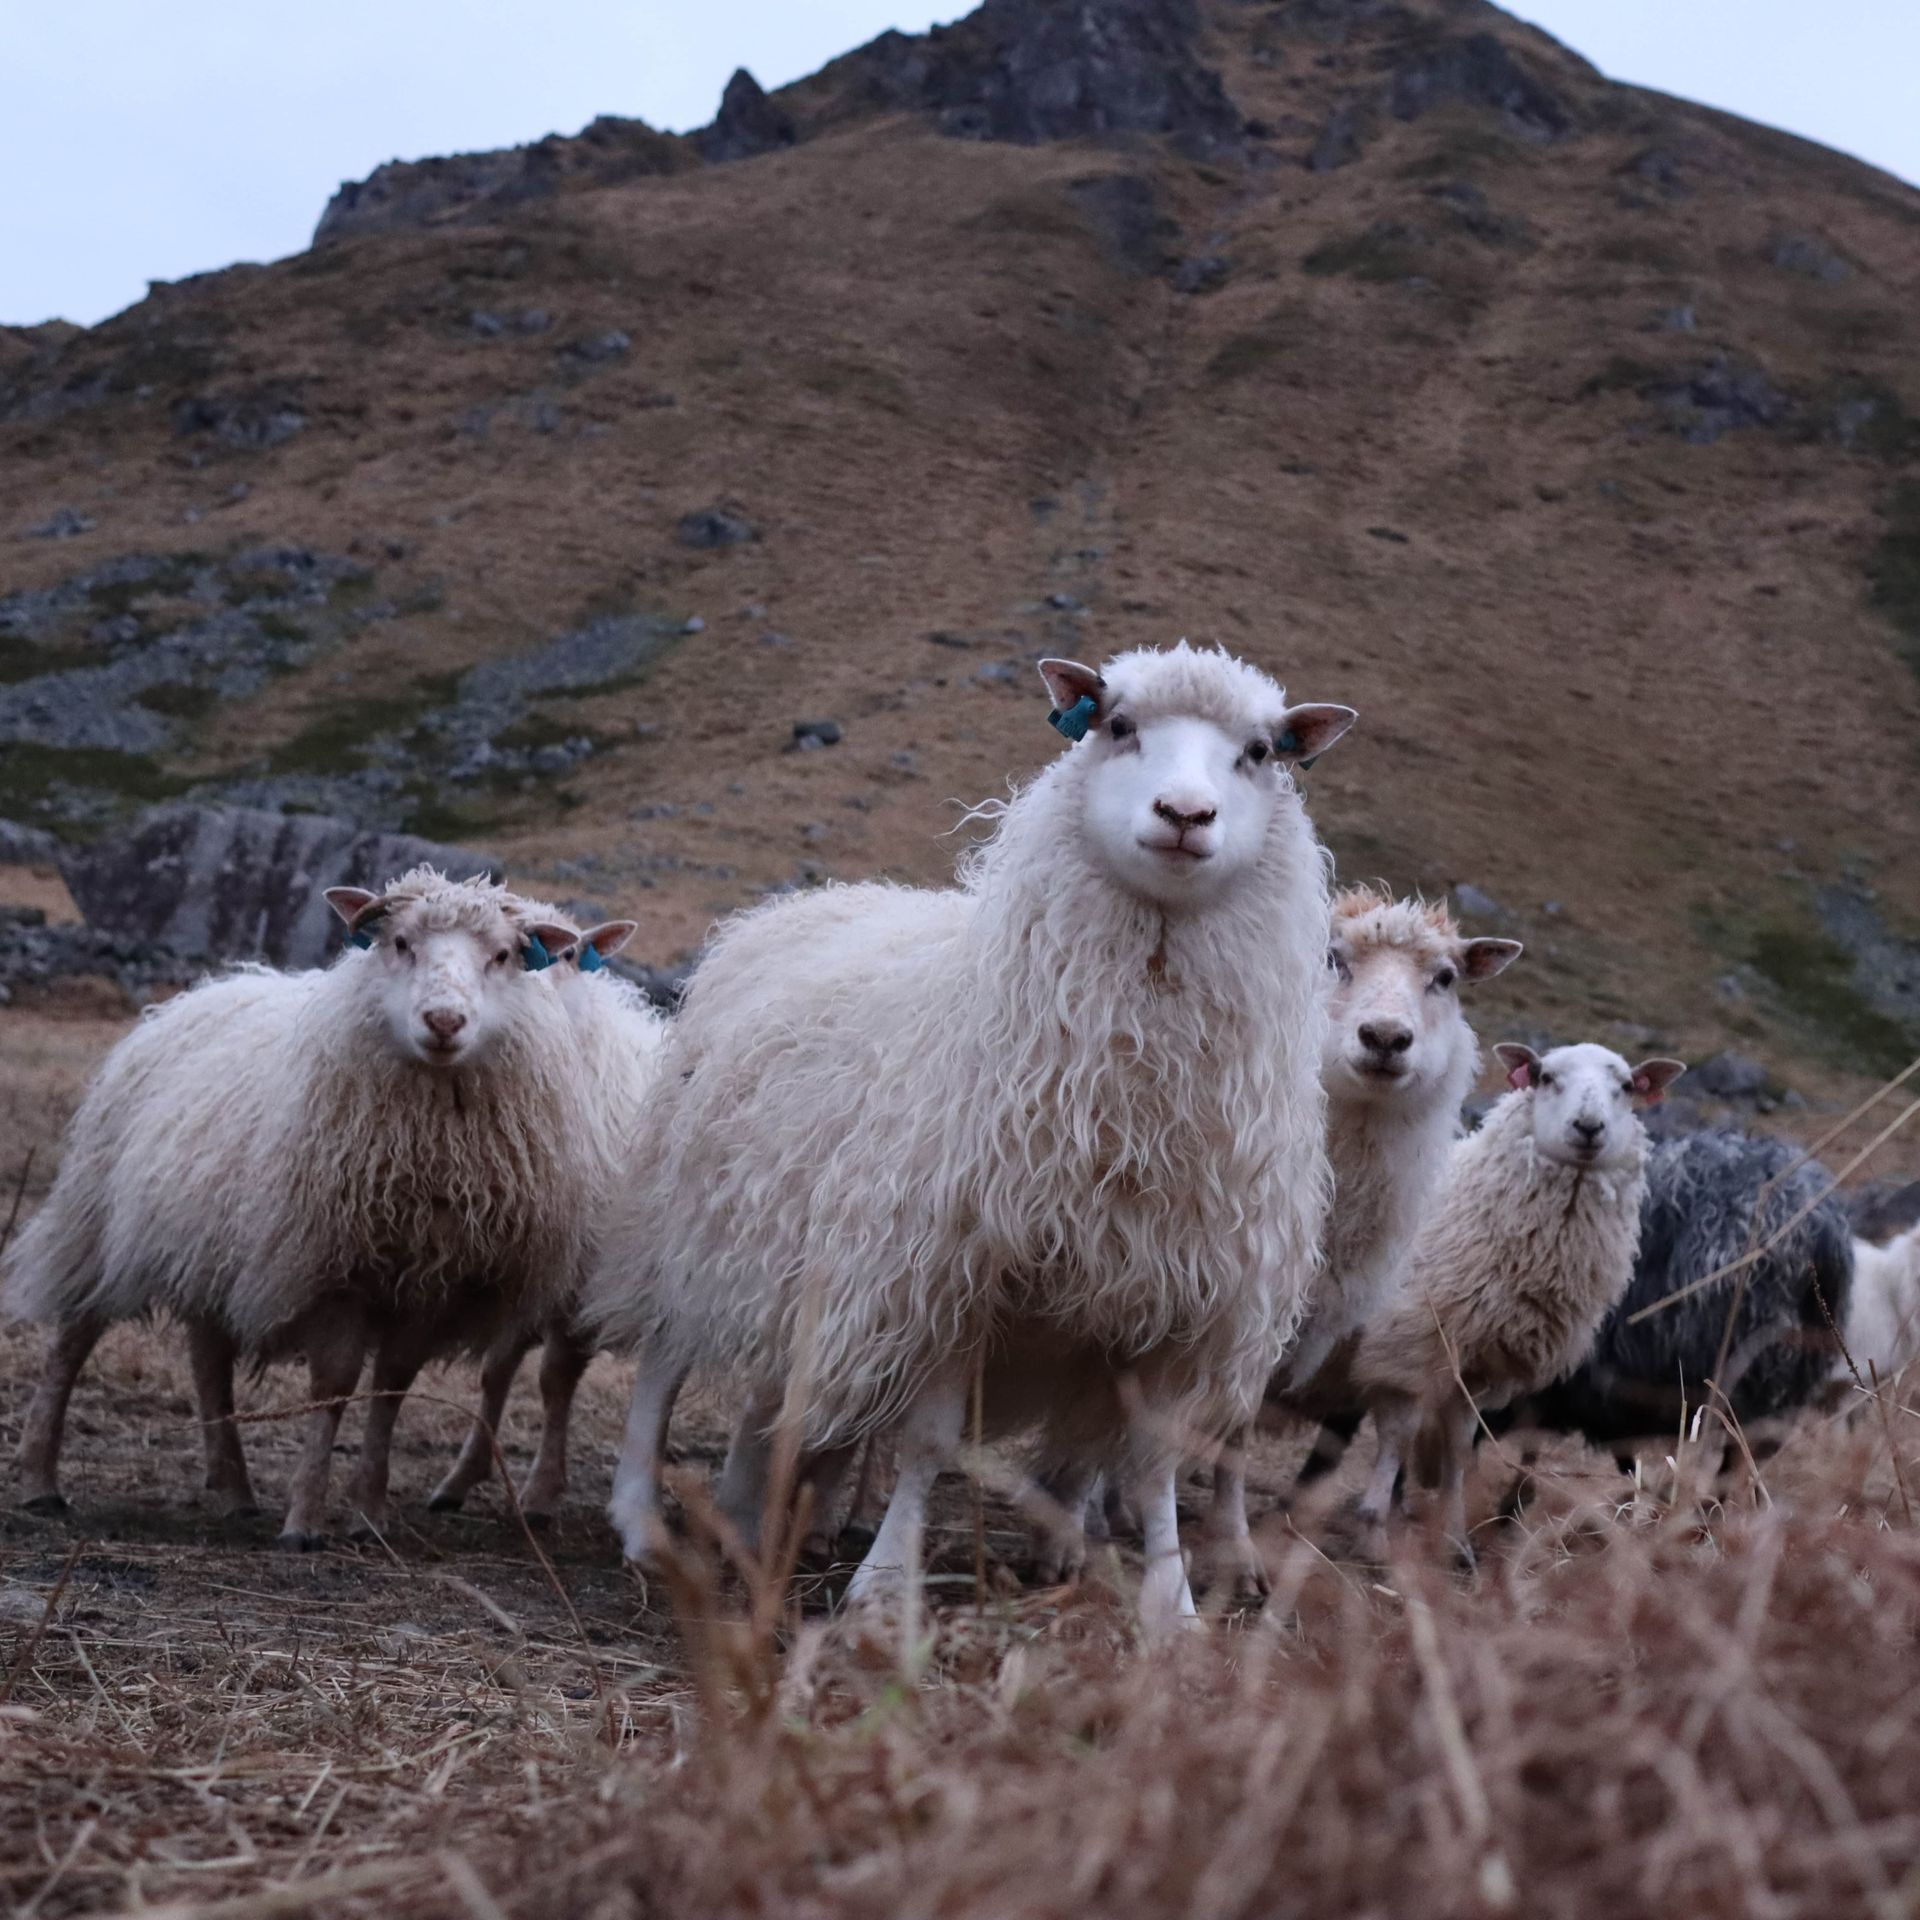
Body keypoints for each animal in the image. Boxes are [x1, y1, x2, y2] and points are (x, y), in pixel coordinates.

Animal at [4, 868, 597, 1546]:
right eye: (399, 942)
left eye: (501, 956)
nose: (444, 1020)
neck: (428, 1152)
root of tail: (206, 992)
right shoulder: (334, 1269)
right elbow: (333, 1386)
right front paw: (306, 1517)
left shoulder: (432, 1284)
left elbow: (392, 1388)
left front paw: (369, 1511)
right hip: (96, 1220)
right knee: (73, 1338)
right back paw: (40, 1478)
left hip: (216, 1244)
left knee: (209, 1359)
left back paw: (234, 1489)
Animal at [427, 918, 667, 1524]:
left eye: (567, 953)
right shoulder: (521, 1270)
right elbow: (495, 1371)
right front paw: (461, 1477)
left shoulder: (584, 1287)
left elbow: (554, 1379)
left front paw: (539, 1492)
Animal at [586, 642, 1356, 1629]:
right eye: (1118, 725)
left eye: (1260, 752)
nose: (1186, 816)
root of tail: (808, 906)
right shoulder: (952, 1273)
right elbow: (929, 1443)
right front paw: (883, 1592)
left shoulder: (1180, 1299)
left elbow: (1151, 1466)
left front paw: (1174, 1609)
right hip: (695, 1224)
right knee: (663, 1363)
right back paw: (642, 1519)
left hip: (805, 1254)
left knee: (778, 1397)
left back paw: (752, 1522)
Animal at [1349, 1041, 1686, 1564]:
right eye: (1545, 1076)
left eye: (1627, 1085)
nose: (1589, 1127)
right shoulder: (1407, 1341)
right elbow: (1398, 1433)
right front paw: (1372, 1531)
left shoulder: (1474, 1365)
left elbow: (1460, 1448)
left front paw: (1455, 1542)